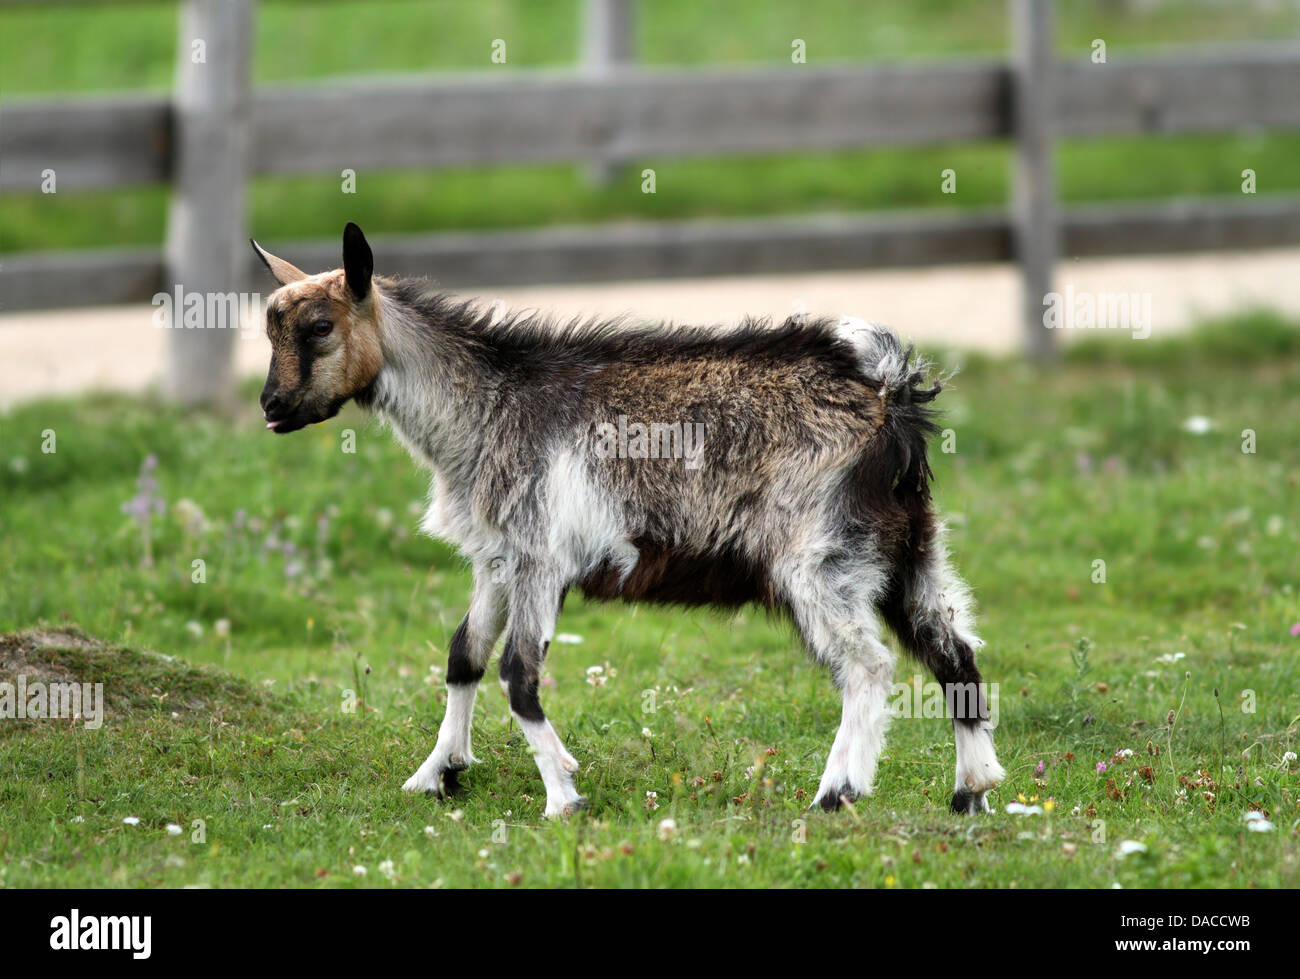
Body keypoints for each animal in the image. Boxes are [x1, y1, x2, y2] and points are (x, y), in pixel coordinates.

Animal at [250, 224, 1003, 811]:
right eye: (269, 327)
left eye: (319, 327)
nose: (271, 407)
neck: (484, 406)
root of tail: (888, 394)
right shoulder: (496, 558)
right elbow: (464, 655)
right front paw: (435, 773)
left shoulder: (540, 557)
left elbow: (518, 674)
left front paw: (563, 794)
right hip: (913, 550)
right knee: (954, 652)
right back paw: (972, 790)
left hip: (817, 559)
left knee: (867, 666)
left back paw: (836, 793)